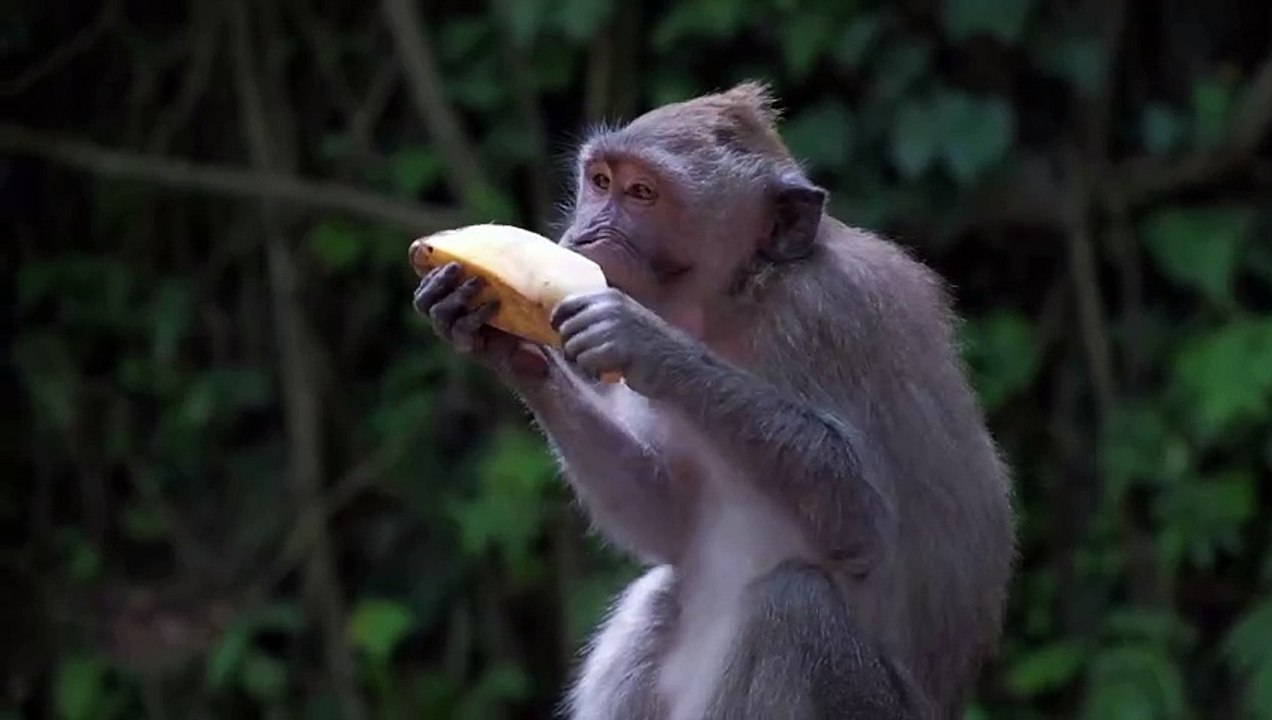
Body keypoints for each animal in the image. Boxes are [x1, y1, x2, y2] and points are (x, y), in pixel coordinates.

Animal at [412, 82, 1016, 719]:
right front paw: (506, 350)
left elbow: (862, 519)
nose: (584, 235)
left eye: (642, 193)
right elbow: (668, 520)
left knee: (796, 607)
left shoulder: (829, 319)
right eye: (600, 181)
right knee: (659, 594)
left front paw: (646, 342)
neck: (739, 300)